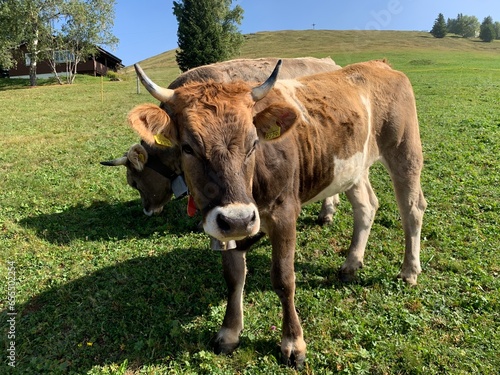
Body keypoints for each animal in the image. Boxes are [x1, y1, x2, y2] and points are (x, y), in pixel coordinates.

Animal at [126, 60, 426, 368]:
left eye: (253, 143)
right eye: (187, 147)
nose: (238, 219)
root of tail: (379, 64)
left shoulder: (284, 214)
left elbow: (283, 279)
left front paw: (293, 343)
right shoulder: (224, 224)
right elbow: (233, 277)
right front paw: (229, 332)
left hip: (404, 150)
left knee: (413, 208)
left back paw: (409, 270)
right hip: (352, 168)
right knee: (366, 206)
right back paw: (352, 262)